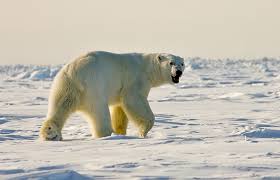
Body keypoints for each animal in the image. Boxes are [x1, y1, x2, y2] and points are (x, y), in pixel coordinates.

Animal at [38, 50, 184, 141]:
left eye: (181, 63)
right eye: (171, 63)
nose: (178, 72)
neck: (146, 67)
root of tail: (74, 72)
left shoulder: (120, 90)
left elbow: (120, 108)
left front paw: (121, 132)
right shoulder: (135, 80)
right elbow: (134, 101)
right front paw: (143, 131)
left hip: (64, 85)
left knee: (60, 106)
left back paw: (51, 134)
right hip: (94, 87)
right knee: (100, 113)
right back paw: (106, 134)